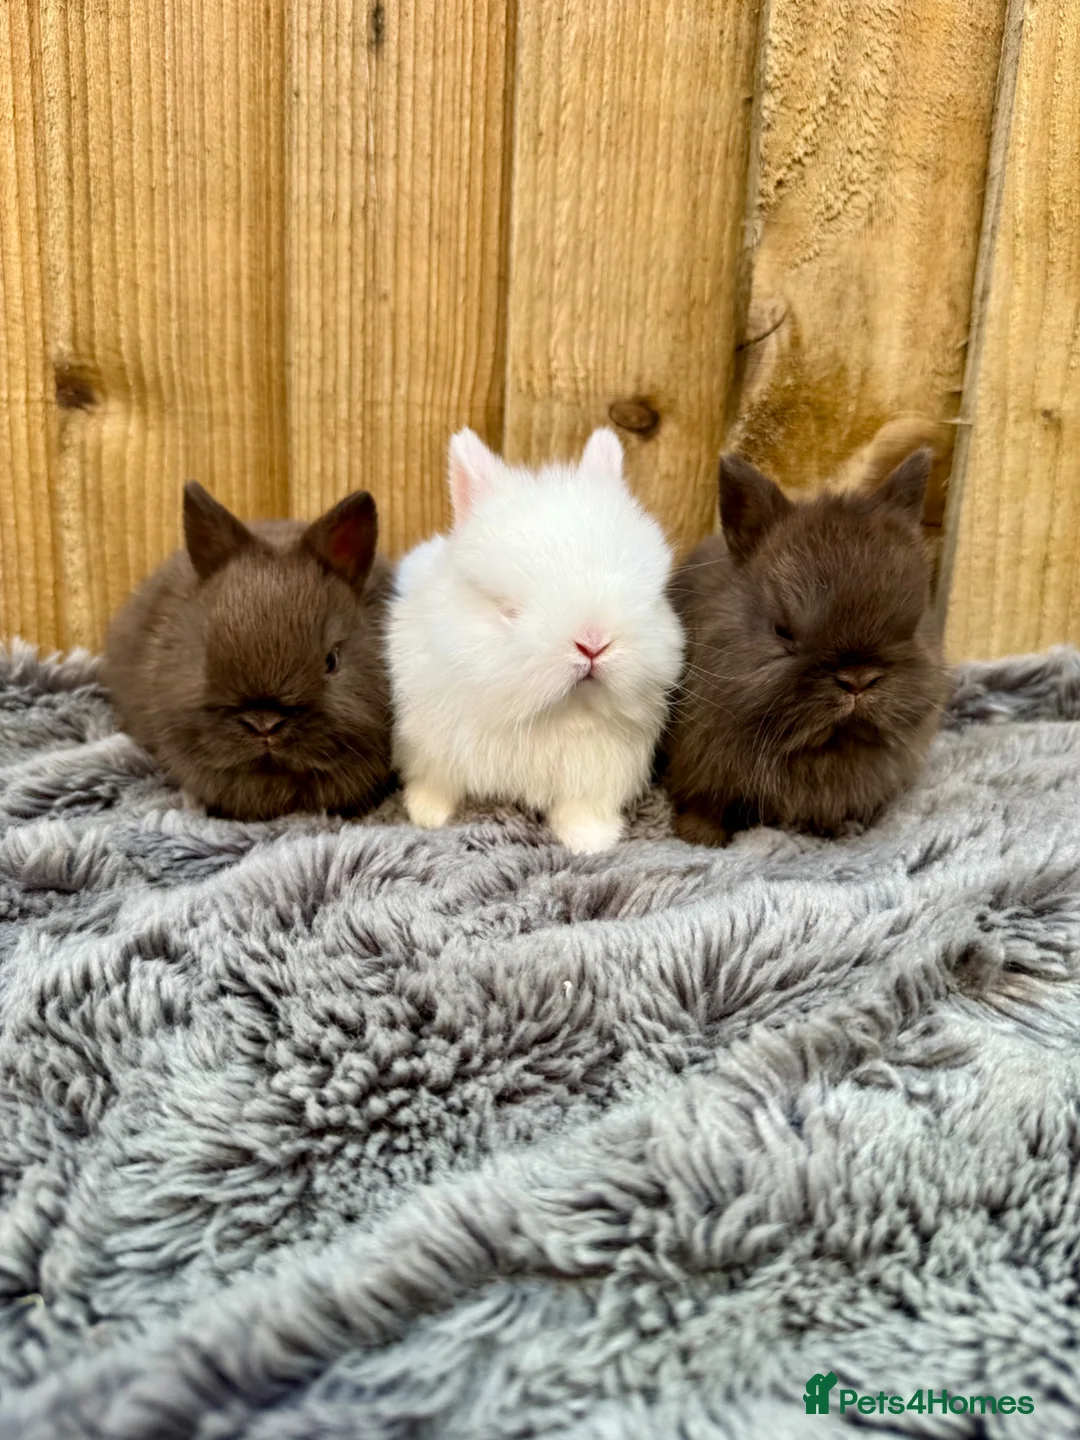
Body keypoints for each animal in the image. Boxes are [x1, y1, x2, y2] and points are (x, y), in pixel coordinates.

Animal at [386, 427, 685, 854]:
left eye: (650, 599)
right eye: (509, 610)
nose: (593, 643)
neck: (548, 716)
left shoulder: (595, 774)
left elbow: (582, 811)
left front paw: (593, 842)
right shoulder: (430, 744)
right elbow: (436, 784)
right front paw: (426, 814)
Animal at [663, 447, 948, 846]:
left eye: (914, 624)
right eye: (782, 631)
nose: (857, 680)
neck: (822, 748)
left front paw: (845, 831)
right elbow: (705, 807)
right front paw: (699, 838)